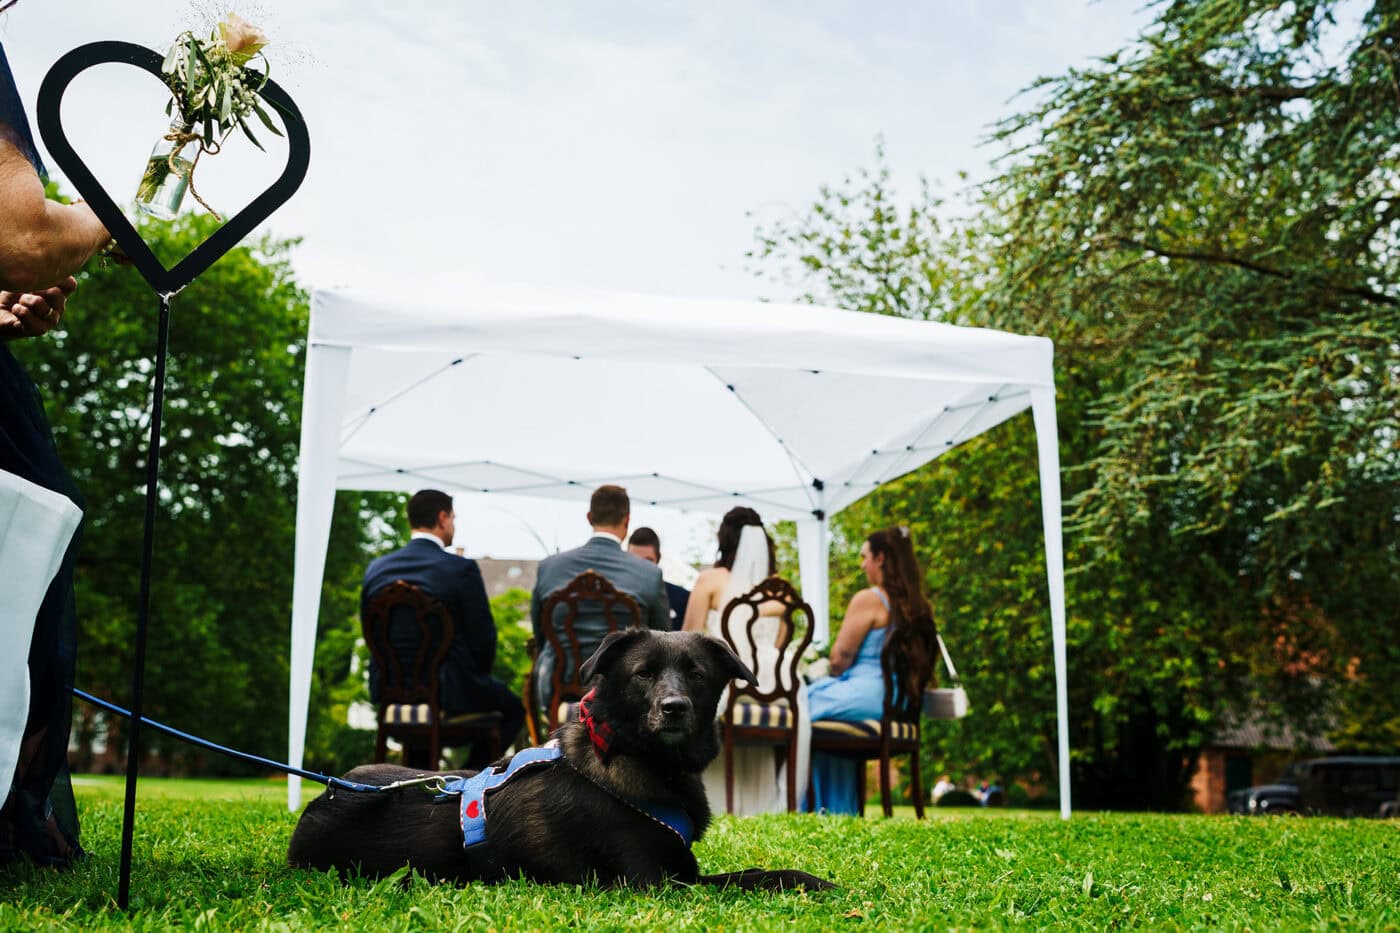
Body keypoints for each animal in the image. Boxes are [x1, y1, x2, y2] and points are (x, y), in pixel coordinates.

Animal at [284, 627, 828, 890]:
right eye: (643, 674)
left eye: (696, 674)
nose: (674, 708)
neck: (632, 757)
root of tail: (319, 800)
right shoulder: (660, 884)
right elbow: (752, 879)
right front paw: (815, 884)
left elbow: (759, 870)